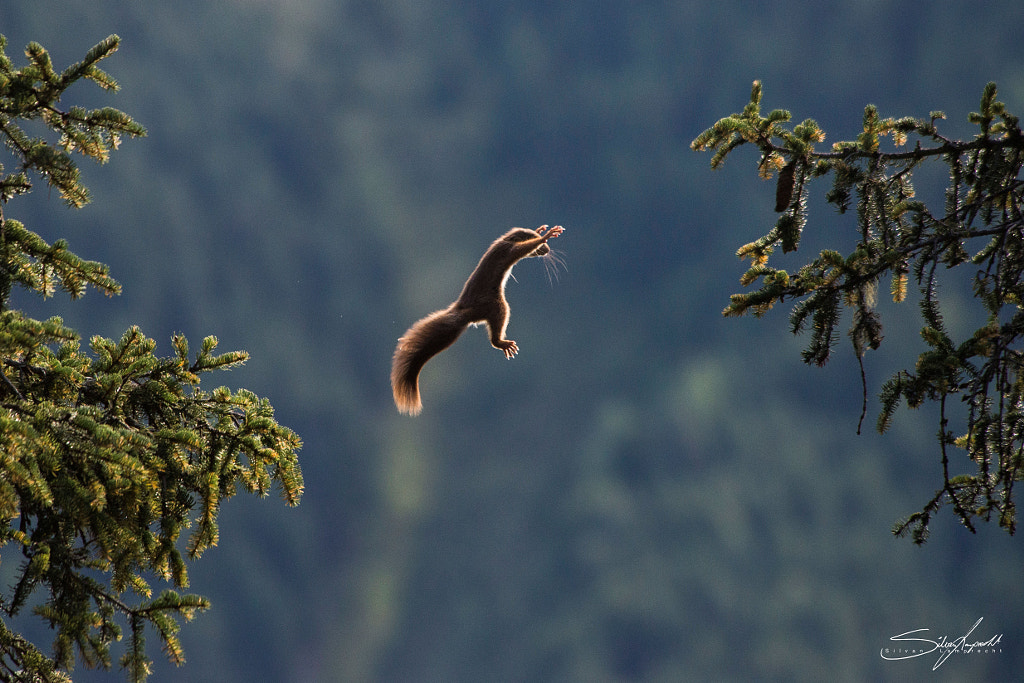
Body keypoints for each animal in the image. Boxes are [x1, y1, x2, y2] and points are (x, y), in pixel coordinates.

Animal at [393, 225, 569, 417]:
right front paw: (548, 234)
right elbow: (522, 249)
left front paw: (543, 229)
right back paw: (504, 343)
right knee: (495, 334)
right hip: (499, 306)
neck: (505, 240)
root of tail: (466, 312)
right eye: (537, 241)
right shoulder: (508, 250)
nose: (548, 250)